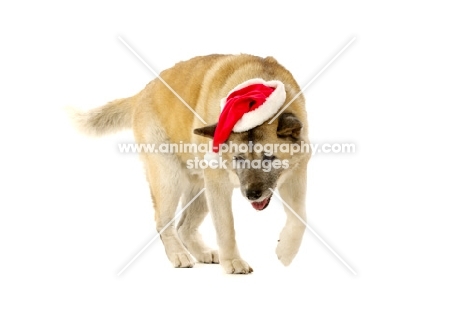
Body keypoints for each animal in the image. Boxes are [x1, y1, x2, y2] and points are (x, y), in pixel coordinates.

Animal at [74, 54, 310, 274]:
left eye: (268, 158)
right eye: (239, 159)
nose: (252, 194)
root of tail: (142, 93)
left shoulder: (296, 175)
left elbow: (299, 218)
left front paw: (286, 251)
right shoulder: (218, 186)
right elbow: (226, 227)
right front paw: (233, 262)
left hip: (201, 188)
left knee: (183, 227)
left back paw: (202, 253)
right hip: (170, 179)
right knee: (163, 222)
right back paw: (178, 254)